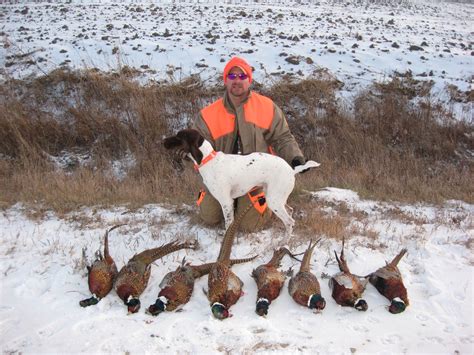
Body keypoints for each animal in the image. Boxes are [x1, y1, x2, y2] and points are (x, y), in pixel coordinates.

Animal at [165, 129, 320, 241]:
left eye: (178, 137)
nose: (163, 141)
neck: (209, 160)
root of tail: (292, 170)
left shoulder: (226, 202)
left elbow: (228, 225)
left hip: (274, 201)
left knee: (289, 221)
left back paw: (283, 243)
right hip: (275, 197)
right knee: (290, 211)